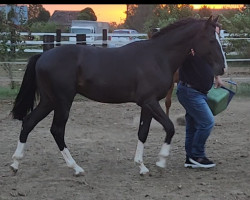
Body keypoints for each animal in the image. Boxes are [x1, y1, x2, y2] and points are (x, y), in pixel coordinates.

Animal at [9, 16, 227, 176]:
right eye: (210, 40)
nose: (222, 68)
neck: (158, 56)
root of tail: (43, 56)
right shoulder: (150, 102)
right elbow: (170, 127)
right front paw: (161, 160)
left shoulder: (147, 104)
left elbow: (143, 132)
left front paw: (141, 166)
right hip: (63, 101)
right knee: (56, 130)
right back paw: (76, 168)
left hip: (49, 101)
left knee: (28, 122)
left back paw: (15, 164)